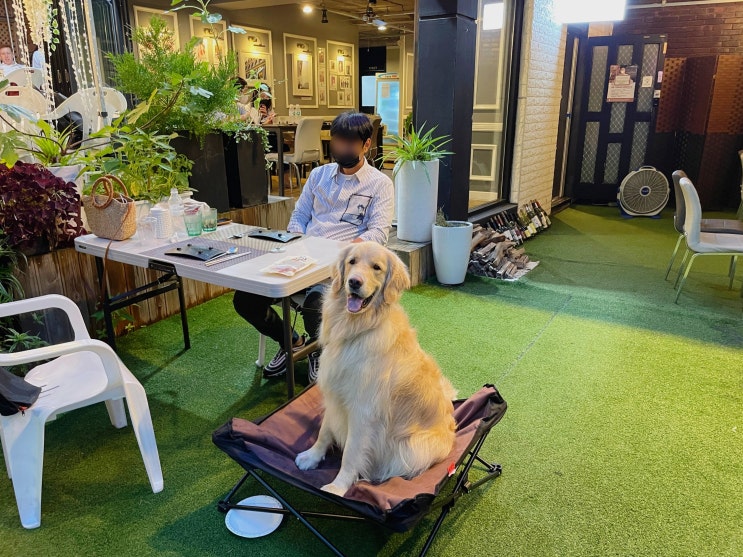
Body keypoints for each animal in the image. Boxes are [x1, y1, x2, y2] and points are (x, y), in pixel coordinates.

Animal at [294, 240, 456, 496]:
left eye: (376, 268)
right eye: (352, 262)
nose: (354, 282)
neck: (357, 329)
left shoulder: (363, 411)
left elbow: (351, 454)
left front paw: (338, 486)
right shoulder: (335, 394)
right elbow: (324, 430)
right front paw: (312, 456)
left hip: (411, 449)